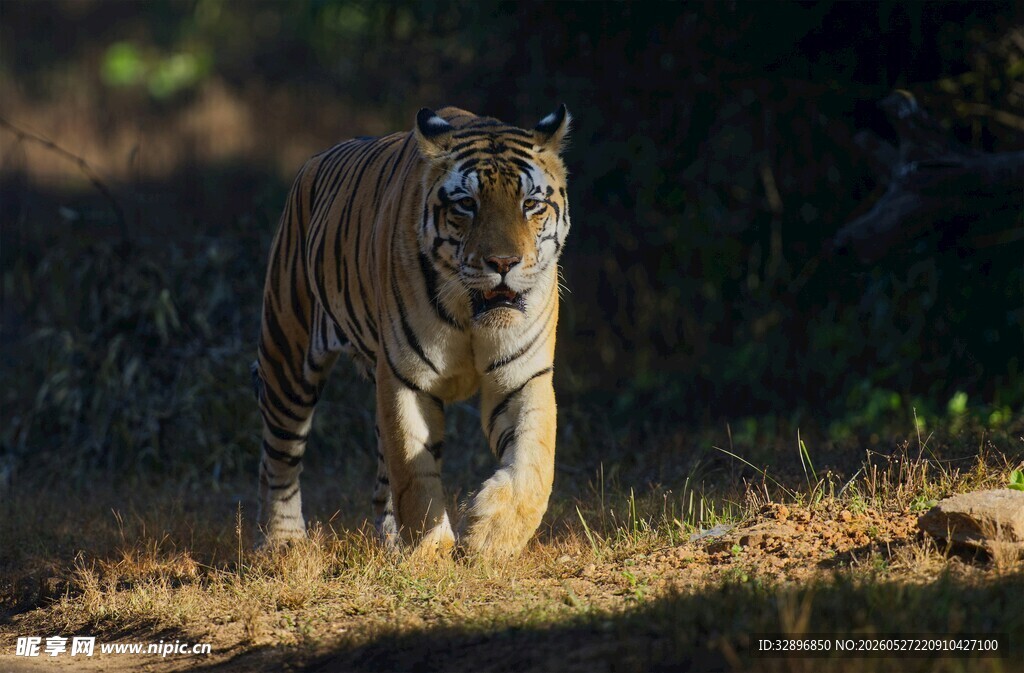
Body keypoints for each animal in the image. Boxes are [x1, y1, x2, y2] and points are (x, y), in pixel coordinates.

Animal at [253, 105, 572, 557]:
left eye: (530, 204)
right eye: (467, 204)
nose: (503, 263)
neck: (470, 314)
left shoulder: (523, 376)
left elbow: (534, 462)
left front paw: (491, 534)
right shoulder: (407, 379)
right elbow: (414, 472)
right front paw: (430, 553)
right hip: (287, 354)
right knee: (278, 459)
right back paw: (283, 544)